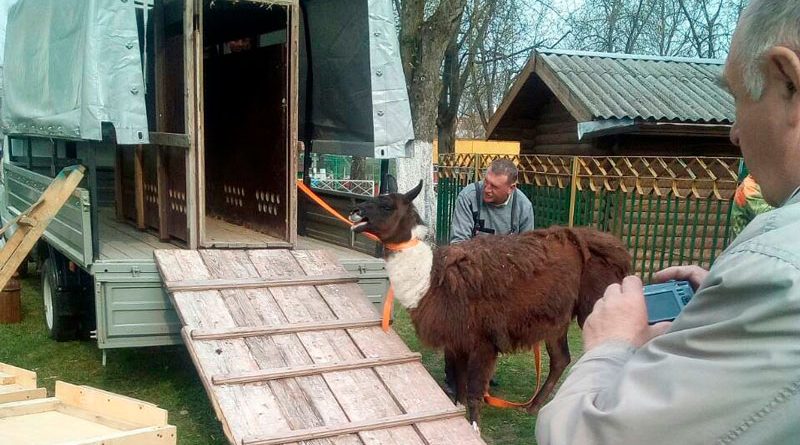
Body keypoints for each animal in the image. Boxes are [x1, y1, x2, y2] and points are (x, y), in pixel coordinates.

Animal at [349, 181, 632, 427]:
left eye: (387, 205)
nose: (355, 211)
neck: (431, 280)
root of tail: (614, 245)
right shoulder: (457, 340)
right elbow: (460, 387)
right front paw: (458, 412)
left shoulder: (483, 341)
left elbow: (474, 392)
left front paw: (474, 426)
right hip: (557, 317)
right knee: (561, 359)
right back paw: (533, 407)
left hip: (594, 305)